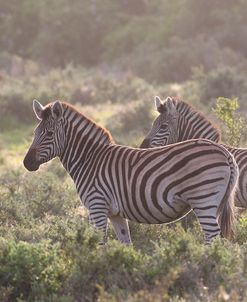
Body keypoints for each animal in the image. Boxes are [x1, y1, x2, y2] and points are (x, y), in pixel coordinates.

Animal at [23, 100, 239, 244]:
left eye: (49, 134)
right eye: (34, 133)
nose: (26, 163)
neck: (89, 158)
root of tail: (225, 152)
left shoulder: (96, 206)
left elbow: (99, 244)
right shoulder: (116, 214)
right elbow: (125, 244)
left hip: (203, 199)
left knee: (212, 236)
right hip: (215, 203)